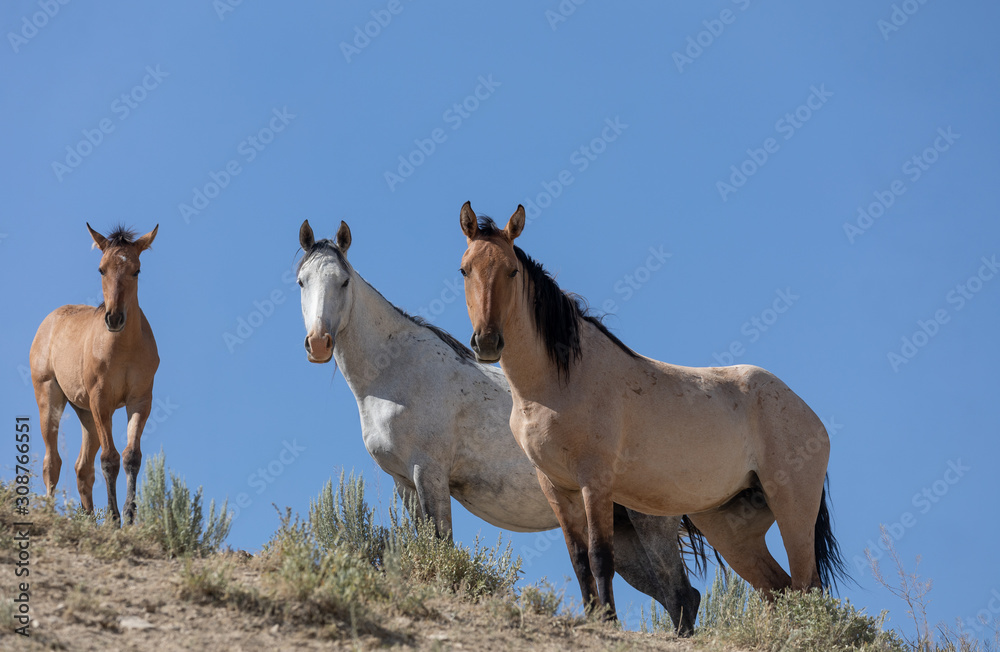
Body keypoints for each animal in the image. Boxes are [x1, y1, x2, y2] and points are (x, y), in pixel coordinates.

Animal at [30, 224, 159, 525]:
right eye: (101, 269)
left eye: (136, 270)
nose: (114, 318)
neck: (123, 348)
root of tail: (50, 322)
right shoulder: (102, 402)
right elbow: (109, 458)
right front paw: (113, 519)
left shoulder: (139, 401)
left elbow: (131, 456)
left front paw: (129, 516)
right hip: (50, 400)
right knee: (52, 462)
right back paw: (50, 513)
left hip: (85, 413)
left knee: (82, 469)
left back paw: (88, 520)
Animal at [296, 219, 708, 634]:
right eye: (301, 281)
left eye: (343, 281)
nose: (319, 343)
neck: (394, 372)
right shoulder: (403, 482)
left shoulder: (428, 473)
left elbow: (441, 544)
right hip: (624, 535)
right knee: (679, 596)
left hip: (648, 523)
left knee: (679, 595)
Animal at [458, 202, 848, 619]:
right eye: (465, 269)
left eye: (512, 271)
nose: (487, 342)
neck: (557, 382)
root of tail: (809, 415)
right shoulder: (556, 486)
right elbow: (579, 561)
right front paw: (593, 618)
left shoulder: (595, 481)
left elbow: (600, 557)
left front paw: (608, 623)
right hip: (728, 525)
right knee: (778, 589)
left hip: (792, 507)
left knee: (807, 587)